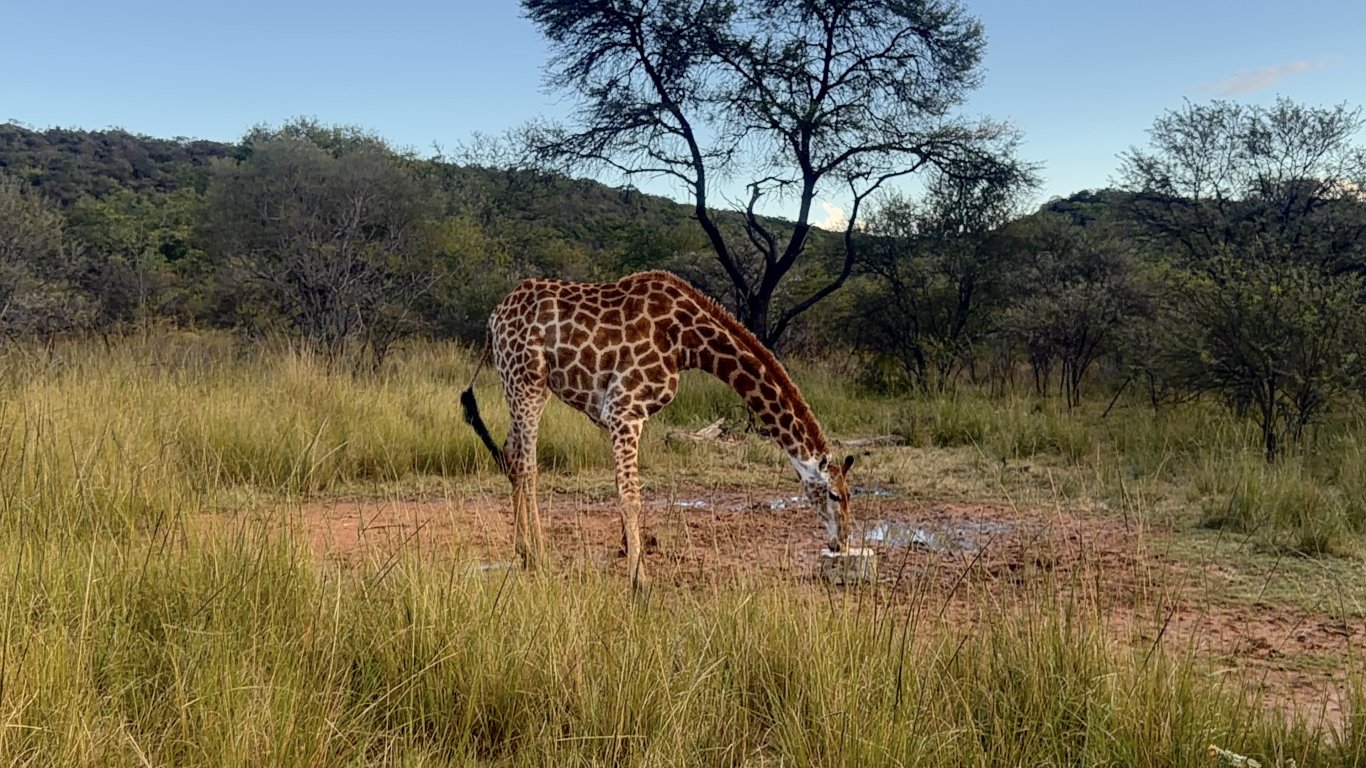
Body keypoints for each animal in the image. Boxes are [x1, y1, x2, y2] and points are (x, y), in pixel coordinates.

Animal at [461, 270, 854, 592]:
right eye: (835, 495)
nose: (843, 541)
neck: (687, 342)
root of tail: (494, 319)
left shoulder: (628, 414)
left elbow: (627, 491)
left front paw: (630, 557)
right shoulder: (623, 409)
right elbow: (631, 496)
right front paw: (641, 582)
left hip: (524, 385)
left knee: (511, 456)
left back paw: (523, 551)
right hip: (526, 379)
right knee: (528, 465)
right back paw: (541, 556)